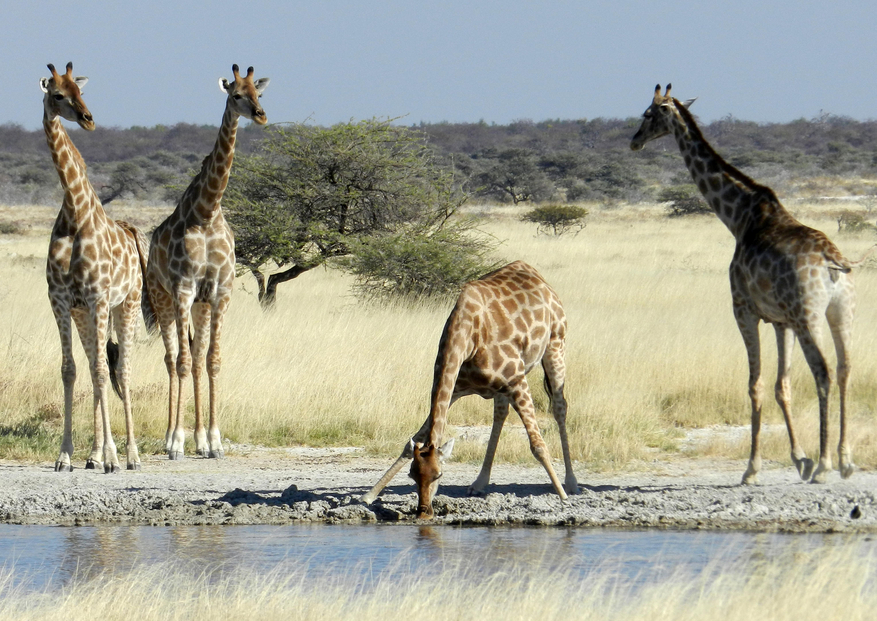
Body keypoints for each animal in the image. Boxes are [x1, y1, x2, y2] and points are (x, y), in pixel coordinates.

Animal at [40, 61, 149, 470]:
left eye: (81, 91)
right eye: (58, 94)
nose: (88, 119)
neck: (75, 212)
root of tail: (132, 231)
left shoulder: (99, 297)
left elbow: (105, 371)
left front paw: (115, 459)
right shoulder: (61, 300)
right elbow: (71, 370)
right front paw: (66, 457)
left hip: (126, 304)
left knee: (121, 369)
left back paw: (130, 456)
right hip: (85, 313)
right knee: (94, 366)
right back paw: (95, 454)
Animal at [145, 65, 268, 458]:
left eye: (259, 93)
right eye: (235, 95)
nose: (260, 115)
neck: (207, 211)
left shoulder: (219, 290)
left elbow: (212, 360)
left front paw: (213, 440)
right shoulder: (184, 288)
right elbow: (182, 362)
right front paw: (176, 442)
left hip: (199, 305)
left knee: (196, 359)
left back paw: (198, 438)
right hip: (162, 298)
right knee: (173, 360)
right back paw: (172, 437)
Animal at [360, 262, 580, 520]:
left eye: (439, 475)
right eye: (412, 475)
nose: (424, 513)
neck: (468, 337)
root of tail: (535, 275)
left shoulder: (518, 380)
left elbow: (538, 445)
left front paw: (562, 498)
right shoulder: (456, 387)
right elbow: (414, 441)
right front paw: (369, 495)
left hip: (555, 346)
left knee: (560, 407)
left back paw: (571, 483)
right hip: (503, 386)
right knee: (500, 414)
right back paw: (479, 482)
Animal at [628, 83, 868, 484]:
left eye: (648, 113)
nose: (634, 141)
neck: (738, 218)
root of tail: (832, 260)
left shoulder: (743, 309)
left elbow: (755, 385)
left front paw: (753, 469)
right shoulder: (781, 321)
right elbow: (782, 386)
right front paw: (798, 459)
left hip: (810, 316)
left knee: (823, 372)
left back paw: (825, 465)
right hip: (841, 311)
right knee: (846, 369)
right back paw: (845, 460)